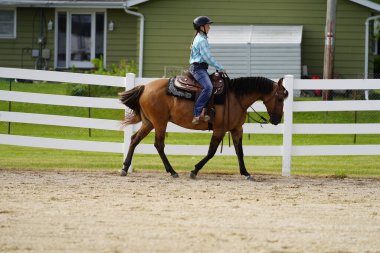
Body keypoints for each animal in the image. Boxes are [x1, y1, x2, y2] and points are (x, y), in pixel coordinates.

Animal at [119, 75, 288, 180]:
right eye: (280, 98)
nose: (276, 120)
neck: (235, 98)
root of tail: (145, 87)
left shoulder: (237, 129)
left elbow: (240, 152)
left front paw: (246, 173)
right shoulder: (219, 130)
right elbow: (211, 152)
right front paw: (194, 170)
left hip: (149, 122)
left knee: (134, 140)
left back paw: (125, 168)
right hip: (160, 122)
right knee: (159, 145)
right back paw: (172, 171)